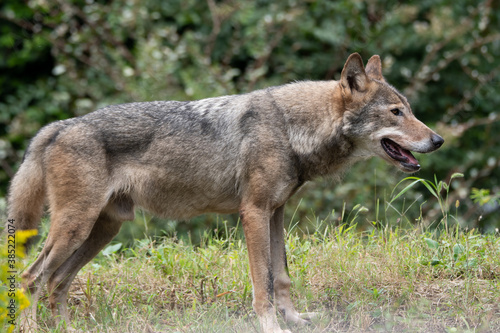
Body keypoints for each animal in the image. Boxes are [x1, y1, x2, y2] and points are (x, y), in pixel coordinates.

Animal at [7, 53, 444, 330]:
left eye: (409, 109)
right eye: (396, 113)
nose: (438, 140)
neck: (291, 128)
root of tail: (57, 126)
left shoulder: (276, 213)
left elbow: (282, 277)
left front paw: (295, 320)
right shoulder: (252, 213)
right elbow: (262, 283)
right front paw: (271, 326)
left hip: (101, 230)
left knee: (56, 283)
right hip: (76, 227)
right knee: (31, 278)